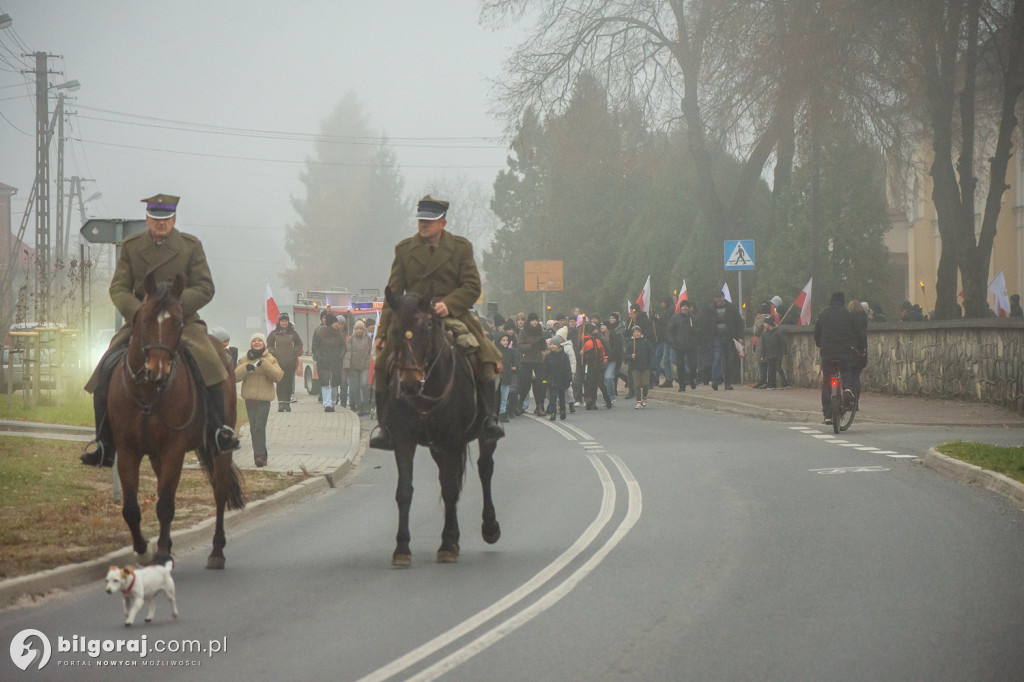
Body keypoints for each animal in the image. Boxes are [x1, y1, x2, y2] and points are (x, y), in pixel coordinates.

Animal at [107, 272, 243, 569]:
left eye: (179, 322)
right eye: (144, 318)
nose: (157, 369)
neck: (148, 394)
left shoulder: (173, 450)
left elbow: (166, 504)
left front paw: (159, 554)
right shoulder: (128, 451)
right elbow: (131, 508)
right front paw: (144, 550)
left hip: (219, 448)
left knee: (219, 491)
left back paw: (217, 551)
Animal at [380, 284, 499, 565]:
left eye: (425, 329)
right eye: (395, 331)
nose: (410, 384)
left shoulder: (451, 440)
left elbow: (450, 489)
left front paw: (446, 544)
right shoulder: (404, 440)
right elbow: (405, 491)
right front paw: (402, 547)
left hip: (482, 436)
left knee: (484, 469)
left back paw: (488, 527)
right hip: (437, 448)